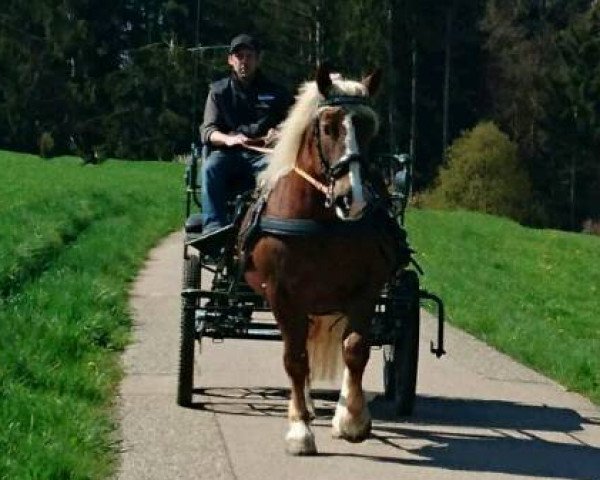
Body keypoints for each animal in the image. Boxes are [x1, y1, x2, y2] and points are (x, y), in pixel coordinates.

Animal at [239, 64, 404, 454]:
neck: (321, 221)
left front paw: (352, 419)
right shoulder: (283, 295)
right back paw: (307, 408)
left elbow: (355, 349)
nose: (352, 198)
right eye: (328, 127)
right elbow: (295, 359)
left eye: (370, 129)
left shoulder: (365, 290)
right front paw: (300, 428)